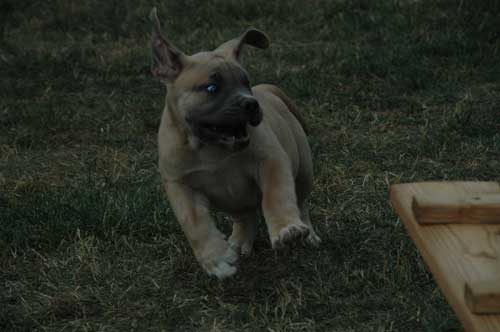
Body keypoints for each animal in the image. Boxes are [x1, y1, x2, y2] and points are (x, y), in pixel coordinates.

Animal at [149, 7, 320, 278]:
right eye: (211, 88)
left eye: (246, 82)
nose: (251, 103)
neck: (211, 149)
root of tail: (267, 90)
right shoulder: (180, 185)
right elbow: (194, 224)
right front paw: (215, 258)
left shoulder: (271, 160)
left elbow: (276, 194)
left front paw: (286, 228)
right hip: (232, 200)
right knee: (243, 216)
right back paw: (240, 242)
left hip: (303, 170)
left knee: (300, 202)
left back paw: (307, 233)